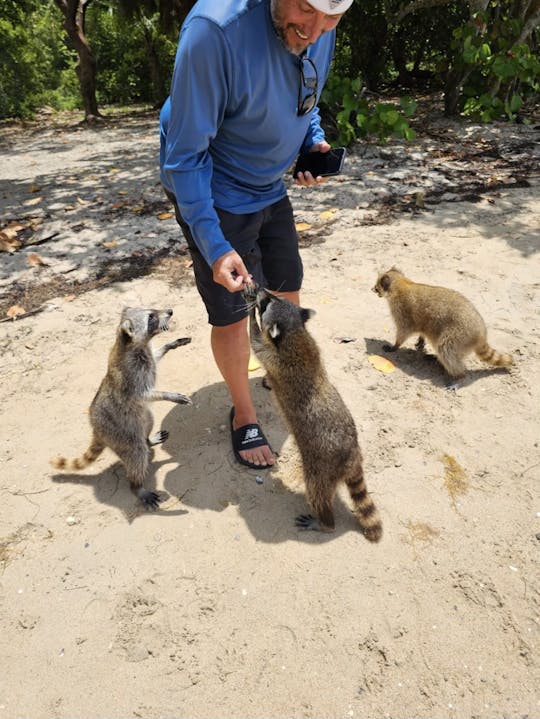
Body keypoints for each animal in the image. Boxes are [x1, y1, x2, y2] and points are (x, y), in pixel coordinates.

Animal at [49, 306, 192, 510]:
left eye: (152, 309)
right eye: (151, 317)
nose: (170, 311)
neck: (130, 344)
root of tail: (96, 430)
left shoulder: (147, 358)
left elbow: (156, 357)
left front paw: (169, 345)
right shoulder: (131, 376)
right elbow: (144, 394)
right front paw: (169, 395)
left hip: (139, 420)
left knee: (148, 422)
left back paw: (148, 439)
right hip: (120, 433)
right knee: (136, 454)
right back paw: (137, 486)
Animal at [245, 284, 384, 544]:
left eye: (267, 303)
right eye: (273, 296)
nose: (260, 288)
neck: (294, 332)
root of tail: (353, 457)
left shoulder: (274, 356)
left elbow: (255, 340)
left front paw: (249, 312)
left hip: (321, 467)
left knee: (317, 492)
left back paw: (325, 523)